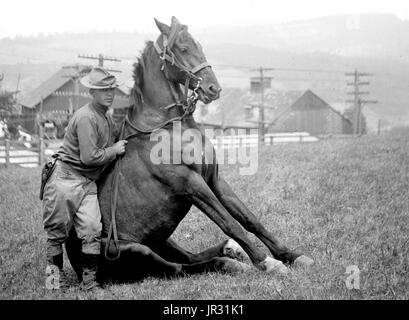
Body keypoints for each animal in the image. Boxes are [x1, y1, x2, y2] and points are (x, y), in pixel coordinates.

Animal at [65, 16, 310, 284]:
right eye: (182, 49)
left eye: (198, 45)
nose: (214, 88)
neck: (167, 128)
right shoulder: (191, 184)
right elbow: (230, 222)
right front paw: (267, 262)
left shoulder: (214, 180)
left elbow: (248, 218)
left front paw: (291, 255)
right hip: (137, 251)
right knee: (179, 268)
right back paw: (229, 263)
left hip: (162, 239)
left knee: (189, 257)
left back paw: (230, 250)